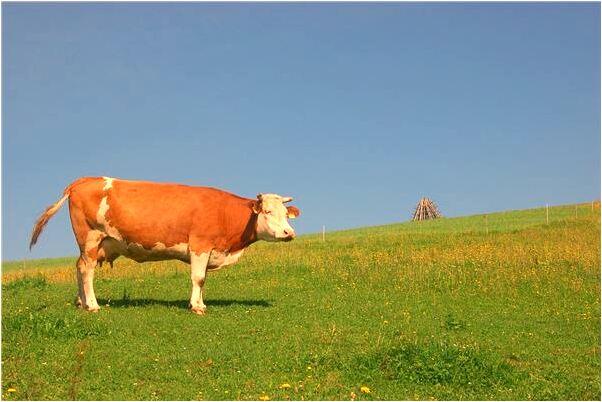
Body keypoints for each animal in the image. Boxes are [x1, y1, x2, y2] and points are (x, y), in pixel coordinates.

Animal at [29, 178, 298, 314]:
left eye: (286, 214)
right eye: (267, 211)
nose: (289, 233)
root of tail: (83, 181)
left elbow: (202, 280)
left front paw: (200, 303)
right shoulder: (200, 245)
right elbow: (199, 278)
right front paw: (196, 307)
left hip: (89, 245)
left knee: (78, 267)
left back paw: (81, 302)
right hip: (91, 237)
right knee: (87, 270)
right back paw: (93, 306)